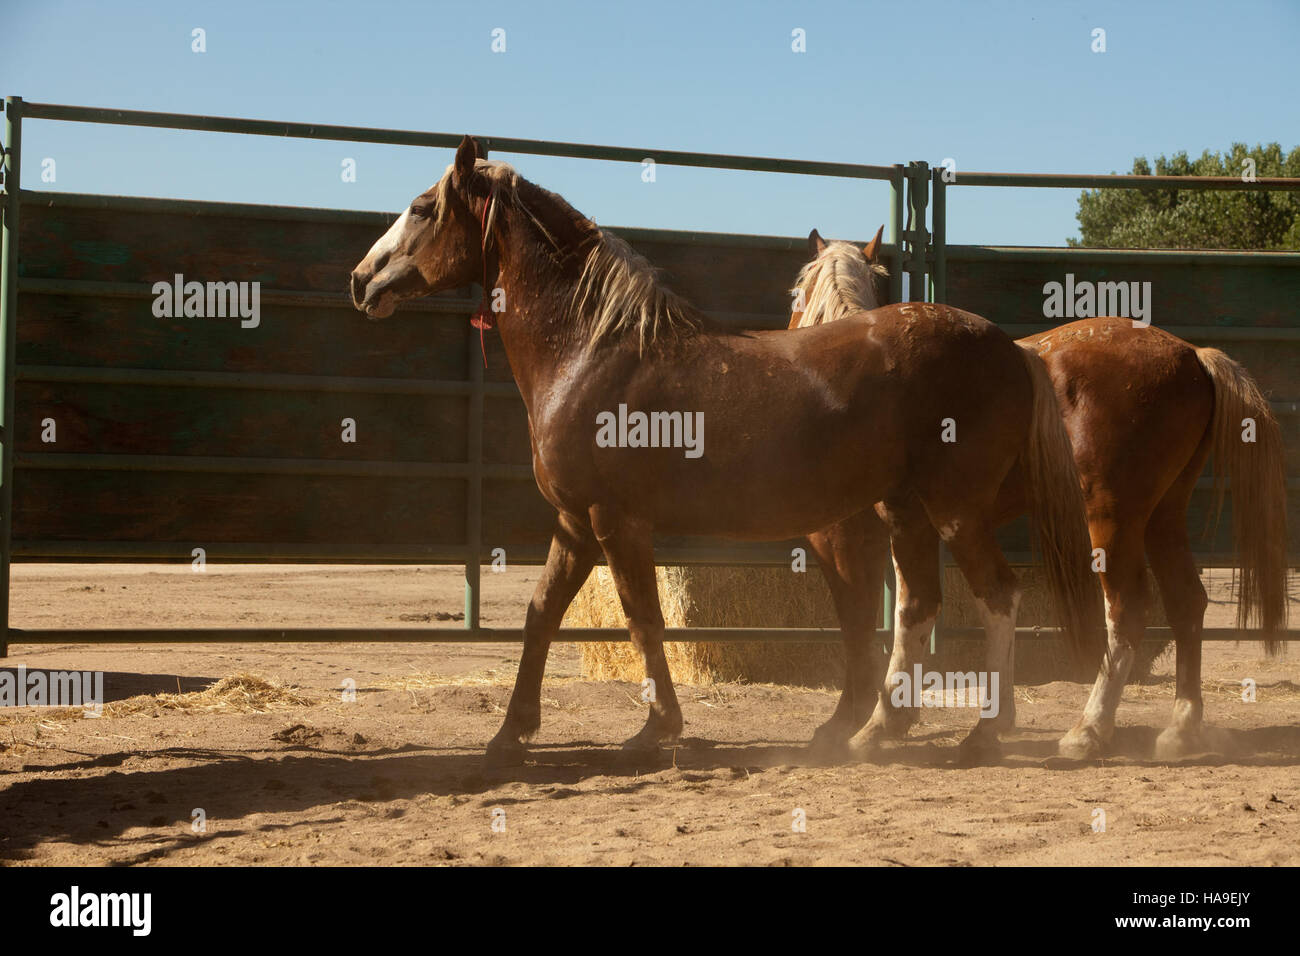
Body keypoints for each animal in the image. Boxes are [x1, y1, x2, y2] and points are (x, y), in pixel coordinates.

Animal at [349, 136, 1102, 766]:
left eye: (423, 208)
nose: (362, 279)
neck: (593, 351)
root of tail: (1008, 347)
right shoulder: (574, 522)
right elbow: (541, 617)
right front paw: (510, 734)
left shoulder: (615, 522)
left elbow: (644, 620)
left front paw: (656, 729)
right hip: (907, 513)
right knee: (918, 606)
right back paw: (873, 732)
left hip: (954, 510)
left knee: (997, 596)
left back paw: (984, 733)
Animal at [790, 229, 1289, 760]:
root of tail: (1193, 354)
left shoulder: (853, 537)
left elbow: (866, 620)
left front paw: (855, 720)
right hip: (1163, 517)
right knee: (1186, 603)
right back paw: (1180, 728)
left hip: (1111, 521)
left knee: (1127, 610)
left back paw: (1088, 729)